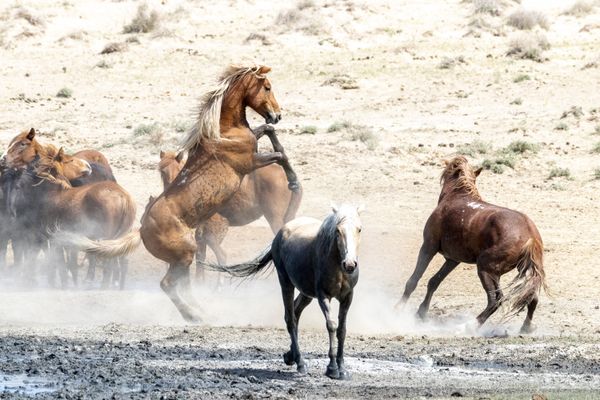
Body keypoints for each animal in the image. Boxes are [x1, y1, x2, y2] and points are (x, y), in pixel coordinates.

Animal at [206, 205, 364, 380]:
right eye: (337, 230)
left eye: (359, 229)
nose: (349, 264)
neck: (337, 265)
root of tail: (280, 233)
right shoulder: (323, 296)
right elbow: (331, 326)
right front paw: (332, 368)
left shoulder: (347, 297)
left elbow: (342, 330)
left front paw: (342, 369)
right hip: (286, 283)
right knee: (290, 319)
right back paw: (300, 362)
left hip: (306, 293)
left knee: (296, 312)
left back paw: (290, 356)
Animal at [398, 155, 548, 332]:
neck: (456, 197)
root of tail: (530, 235)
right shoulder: (453, 259)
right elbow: (434, 282)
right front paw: (421, 313)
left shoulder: (429, 246)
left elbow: (413, 280)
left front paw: (398, 308)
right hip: (523, 271)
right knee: (532, 298)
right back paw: (525, 328)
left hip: (485, 268)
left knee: (495, 299)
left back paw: (468, 326)